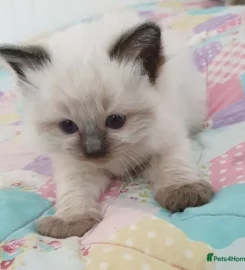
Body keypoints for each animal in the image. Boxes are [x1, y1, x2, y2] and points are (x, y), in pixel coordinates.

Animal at [0, 13, 213, 238]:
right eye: (68, 126)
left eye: (116, 121)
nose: (93, 151)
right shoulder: (75, 166)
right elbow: (73, 192)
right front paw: (70, 220)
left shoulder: (167, 142)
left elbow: (174, 166)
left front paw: (183, 192)